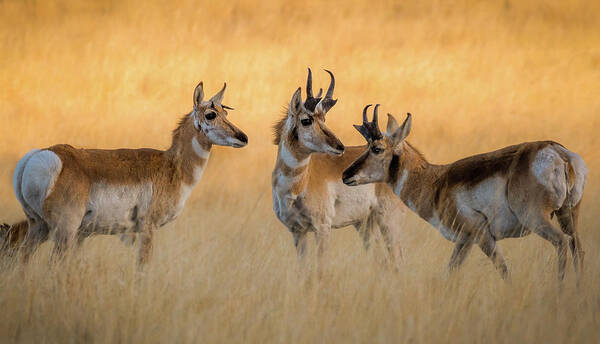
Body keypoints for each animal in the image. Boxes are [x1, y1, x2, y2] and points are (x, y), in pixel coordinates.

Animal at [14, 82, 248, 264]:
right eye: (210, 114)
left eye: (226, 113)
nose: (243, 137)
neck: (171, 165)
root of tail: (41, 155)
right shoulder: (148, 228)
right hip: (64, 231)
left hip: (39, 227)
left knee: (23, 258)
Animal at [274, 69, 406, 264]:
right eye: (306, 120)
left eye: (324, 118)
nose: (340, 146)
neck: (297, 187)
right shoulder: (297, 232)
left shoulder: (322, 228)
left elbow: (320, 268)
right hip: (365, 225)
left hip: (389, 221)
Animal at [342, 105, 584, 282]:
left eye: (377, 149)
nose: (345, 175)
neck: (436, 182)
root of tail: (558, 152)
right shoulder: (463, 242)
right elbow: (450, 272)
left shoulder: (481, 236)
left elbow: (504, 270)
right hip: (568, 215)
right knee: (577, 249)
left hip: (536, 219)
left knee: (562, 243)